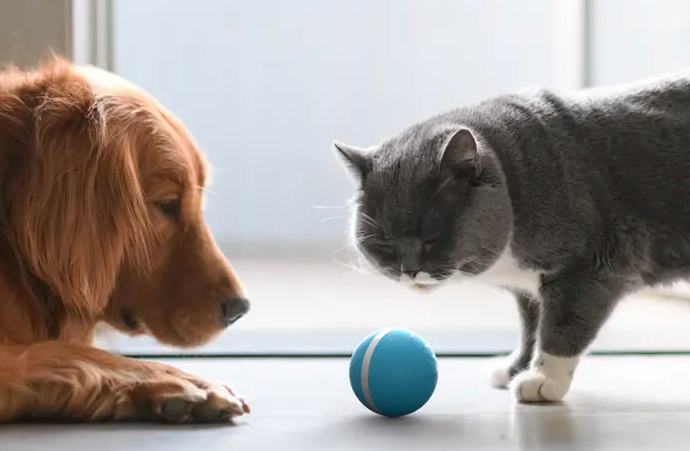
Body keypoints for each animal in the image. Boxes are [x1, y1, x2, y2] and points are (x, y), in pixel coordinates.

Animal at [332, 72, 690, 404]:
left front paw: (543, 379)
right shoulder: (529, 289)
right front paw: (515, 368)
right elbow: (531, 326)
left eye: (432, 237)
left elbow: (561, 324)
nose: (409, 270)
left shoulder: (590, 266)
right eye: (384, 245)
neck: (517, 186)